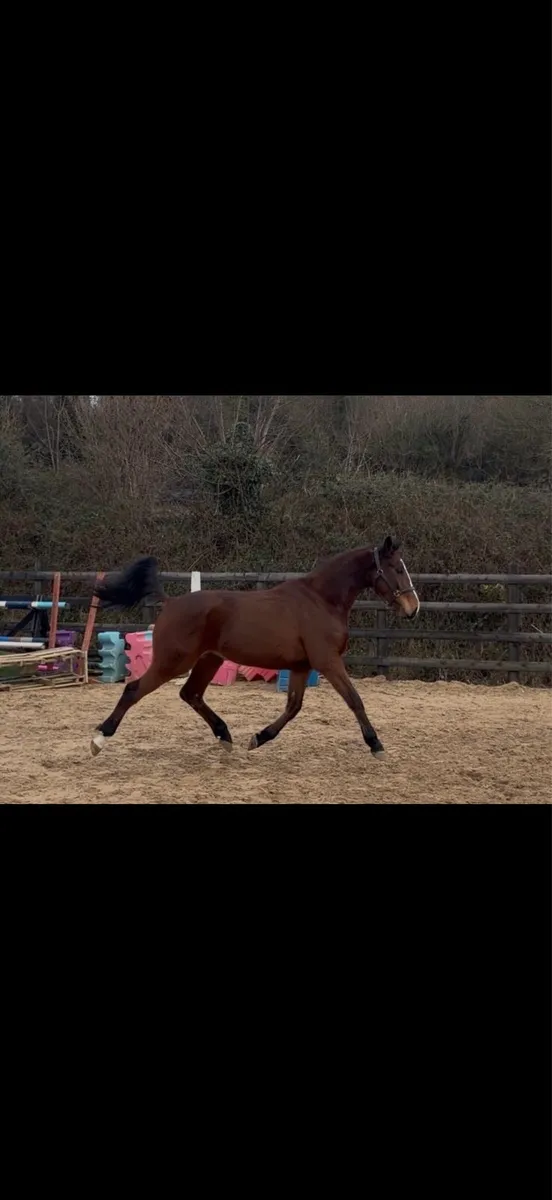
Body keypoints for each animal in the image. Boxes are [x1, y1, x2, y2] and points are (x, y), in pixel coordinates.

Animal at [90, 536, 419, 759]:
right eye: (396, 568)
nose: (413, 608)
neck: (320, 600)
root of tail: (171, 602)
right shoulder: (328, 661)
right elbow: (355, 700)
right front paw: (376, 744)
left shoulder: (302, 666)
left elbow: (293, 707)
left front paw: (259, 738)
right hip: (173, 661)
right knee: (134, 689)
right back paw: (98, 739)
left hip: (208, 660)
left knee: (190, 694)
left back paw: (224, 735)